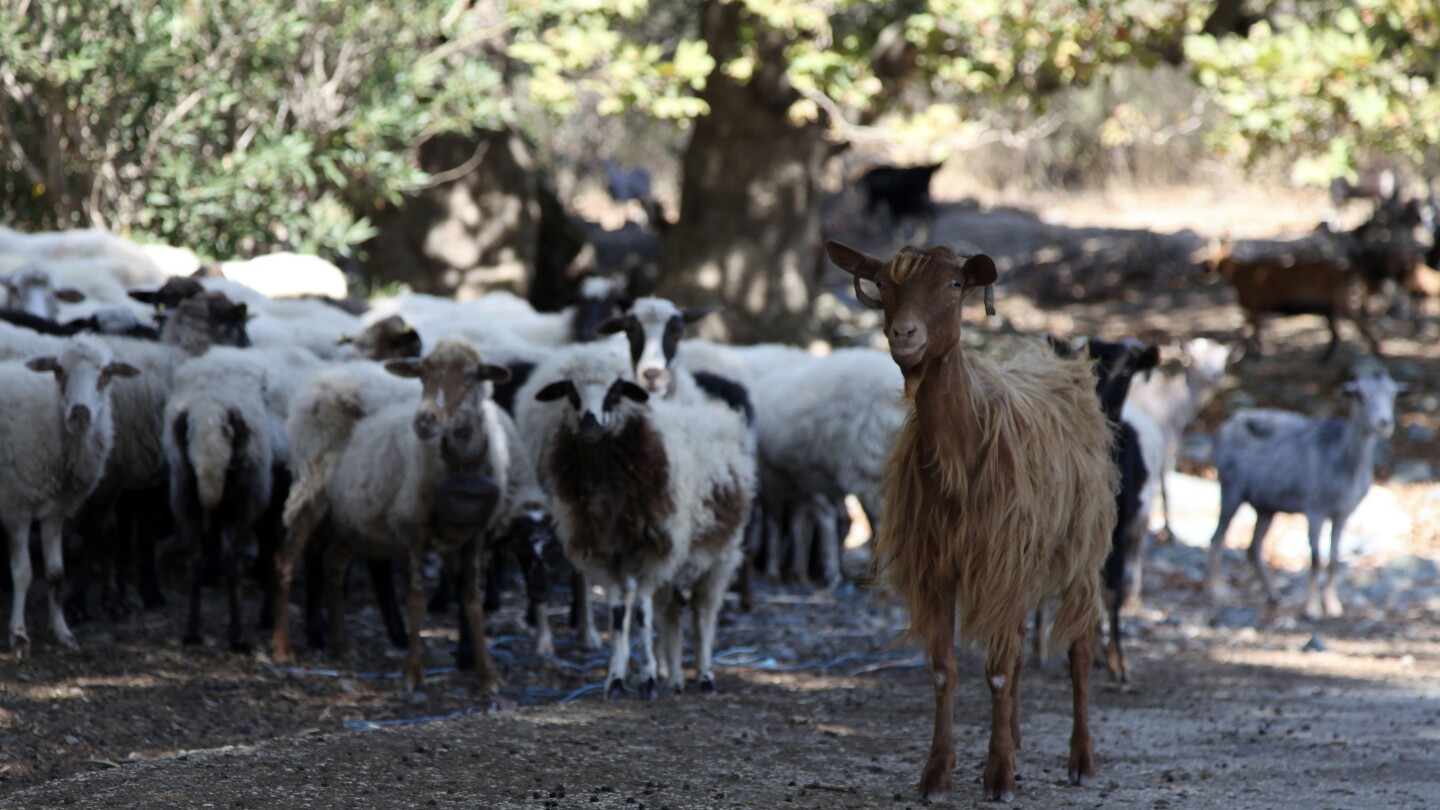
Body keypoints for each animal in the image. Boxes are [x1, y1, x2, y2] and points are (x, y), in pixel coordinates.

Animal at [1, 335, 138, 657]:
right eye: (59, 370)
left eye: (107, 373)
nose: (80, 415)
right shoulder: (17, 508)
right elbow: (23, 573)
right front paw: (19, 634)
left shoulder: (55, 511)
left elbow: (56, 573)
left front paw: (62, 632)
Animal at [1209, 239, 1376, 358]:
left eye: (1213, 255)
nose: (1206, 266)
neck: (1240, 275)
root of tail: (1345, 271)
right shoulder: (1254, 308)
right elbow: (1250, 331)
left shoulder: (1254, 306)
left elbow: (1252, 332)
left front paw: (1254, 354)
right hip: (1330, 308)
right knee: (1337, 333)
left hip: (1339, 301)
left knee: (1357, 325)